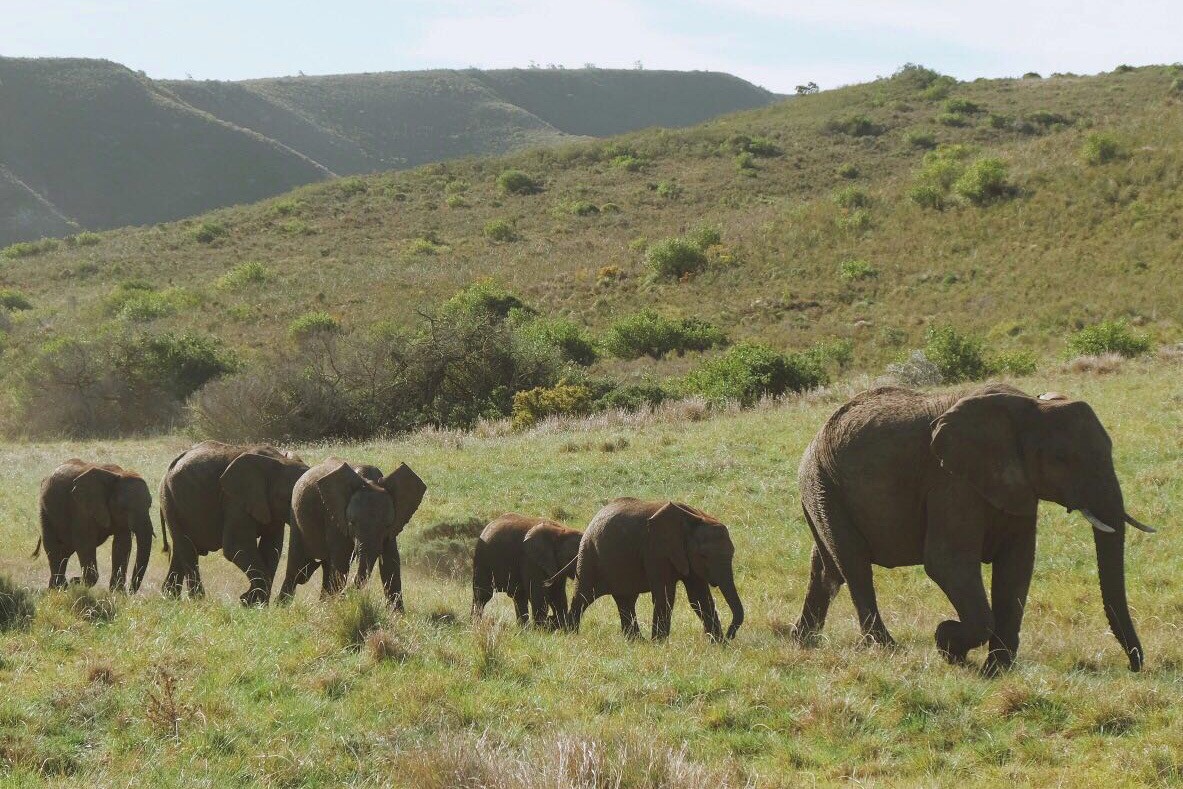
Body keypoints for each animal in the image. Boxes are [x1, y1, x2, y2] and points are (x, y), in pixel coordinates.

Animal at [34, 463, 152, 591]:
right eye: (124, 508)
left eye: (150, 505)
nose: (130, 591)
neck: (119, 474)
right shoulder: (81, 508)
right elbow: (85, 543)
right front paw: (75, 582)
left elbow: (122, 545)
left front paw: (117, 593)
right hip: (44, 510)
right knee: (54, 546)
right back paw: (59, 588)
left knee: (65, 550)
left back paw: (58, 587)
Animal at [159, 444, 307, 605]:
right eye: (288, 499)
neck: (279, 460)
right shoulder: (234, 500)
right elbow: (237, 546)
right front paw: (250, 602)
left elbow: (271, 549)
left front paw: (253, 603)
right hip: (171, 501)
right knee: (187, 549)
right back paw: (198, 602)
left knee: (180, 550)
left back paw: (170, 599)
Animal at [276, 458, 425, 610]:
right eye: (352, 523)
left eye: (387, 525)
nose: (345, 596)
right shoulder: (334, 516)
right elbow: (341, 562)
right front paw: (334, 605)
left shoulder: (394, 526)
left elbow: (391, 563)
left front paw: (397, 614)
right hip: (295, 516)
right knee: (296, 568)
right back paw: (281, 607)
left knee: (324, 568)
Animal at [567, 499, 742, 643]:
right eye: (704, 555)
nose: (730, 635)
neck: (695, 517)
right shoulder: (656, 550)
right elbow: (666, 595)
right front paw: (659, 644)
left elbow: (699, 598)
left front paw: (719, 644)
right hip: (589, 553)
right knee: (583, 596)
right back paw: (570, 633)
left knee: (626, 600)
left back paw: (636, 641)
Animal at [790, 383, 1159, 671]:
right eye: (1062, 459)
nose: (1134, 667)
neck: (1031, 406)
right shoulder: (951, 482)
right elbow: (947, 562)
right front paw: (947, 643)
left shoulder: (1016, 486)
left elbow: (1016, 567)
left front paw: (996, 670)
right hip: (823, 483)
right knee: (853, 565)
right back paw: (887, 649)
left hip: (821, 489)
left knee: (827, 569)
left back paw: (802, 641)